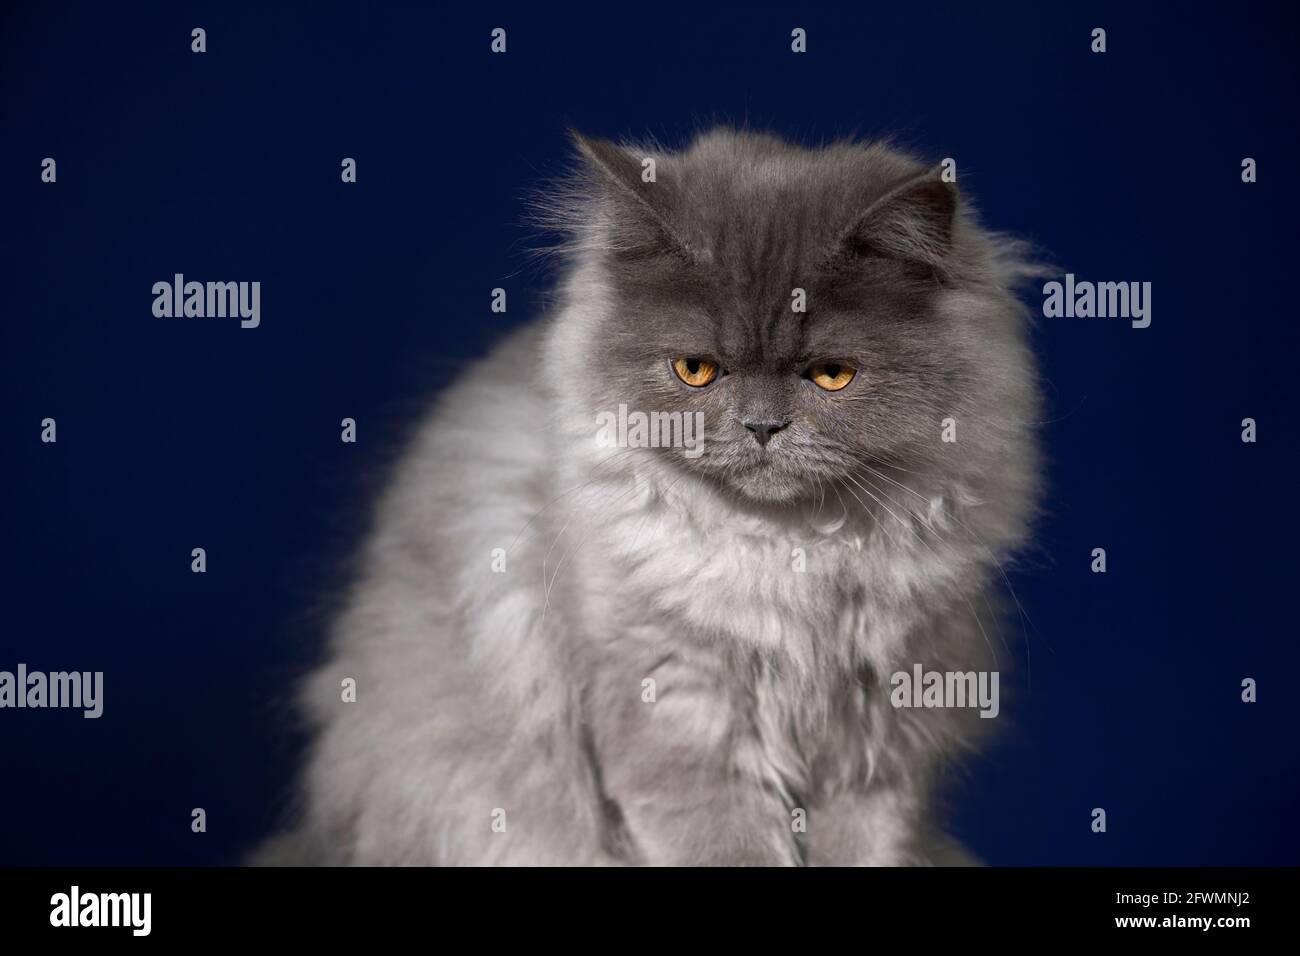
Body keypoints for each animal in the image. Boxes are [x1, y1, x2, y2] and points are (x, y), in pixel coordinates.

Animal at [258, 127, 1040, 868]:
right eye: (695, 370)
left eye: (833, 375)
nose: (762, 426)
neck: (790, 556)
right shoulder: (674, 708)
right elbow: (728, 846)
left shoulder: (881, 736)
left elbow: (864, 846)